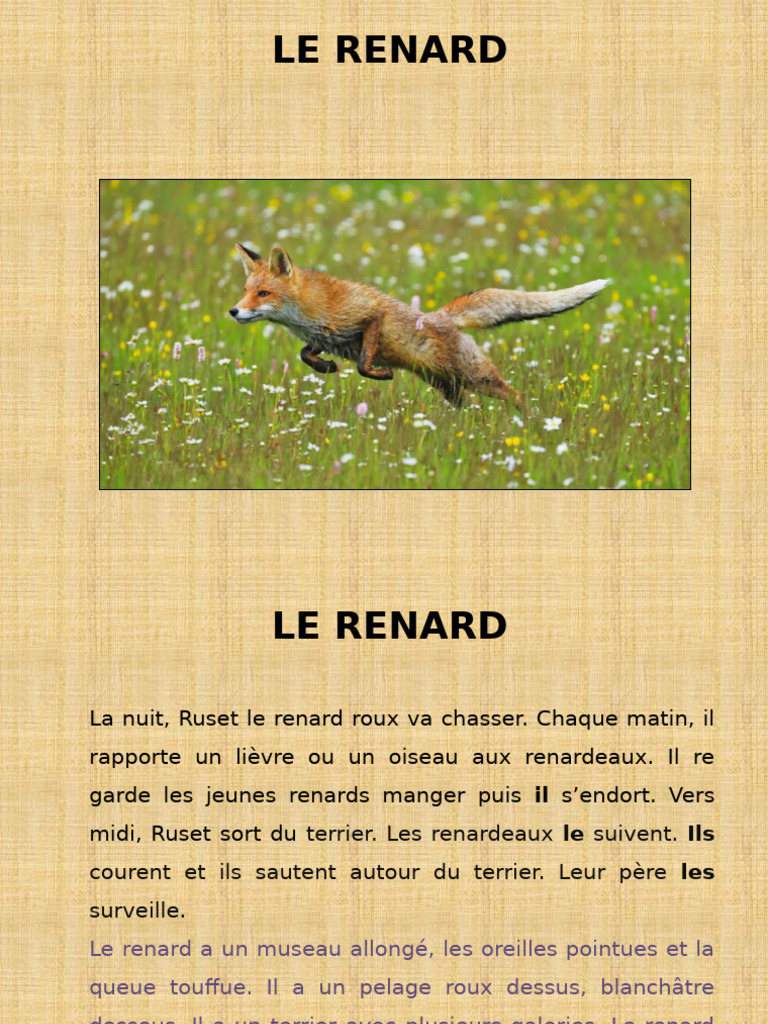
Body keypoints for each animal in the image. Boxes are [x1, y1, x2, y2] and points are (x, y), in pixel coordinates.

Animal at [228, 243, 609, 408]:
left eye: (263, 293)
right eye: (246, 291)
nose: (233, 311)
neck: (312, 309)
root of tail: (442, 316)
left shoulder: (370, 316)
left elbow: (364, 363)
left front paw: (380, 374)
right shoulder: (324, 337)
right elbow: (305, 355)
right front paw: (326, 367)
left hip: (475, 377)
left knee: (515, 395)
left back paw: (529, 424)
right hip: (448, 386)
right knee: (466, 406)